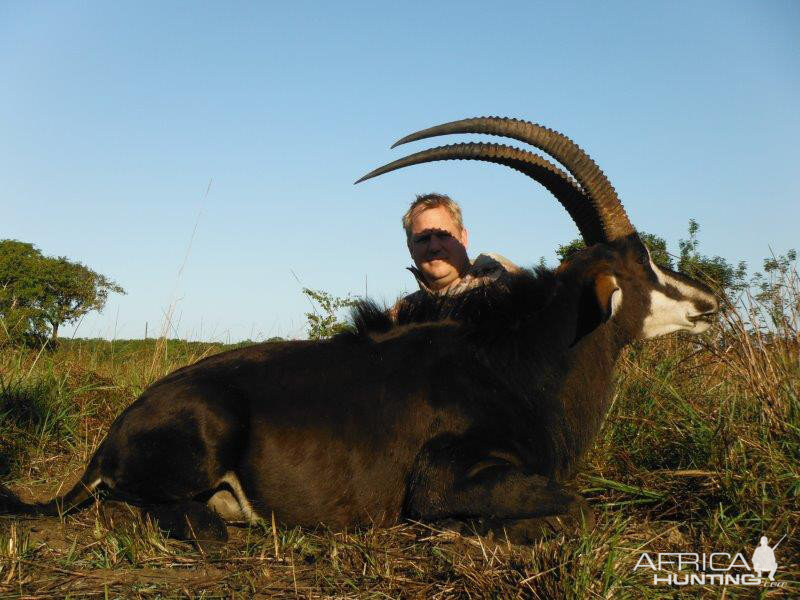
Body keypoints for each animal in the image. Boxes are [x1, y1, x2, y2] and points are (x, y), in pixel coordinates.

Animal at [0, 116, 720, 544]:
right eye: (643, 265)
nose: (709, 298)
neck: (520, 360)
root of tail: (110, 442)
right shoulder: (442, 478)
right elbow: (572, 505)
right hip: (204, 433)